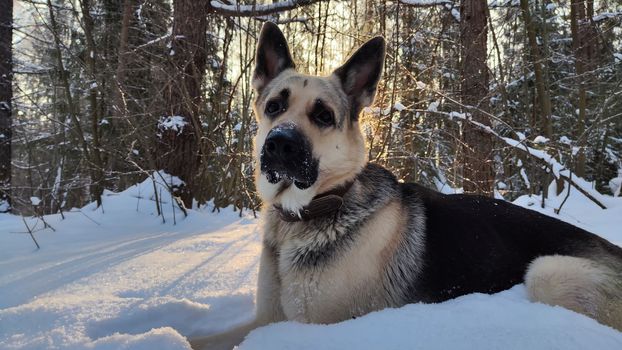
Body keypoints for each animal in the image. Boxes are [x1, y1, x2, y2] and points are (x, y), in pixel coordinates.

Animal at [191, 21, 622, 348]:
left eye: (324, 115)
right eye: (274, 106)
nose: (280, 143)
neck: (318, 208)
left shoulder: (308, 326)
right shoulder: (264, 318)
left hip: (549, 274)